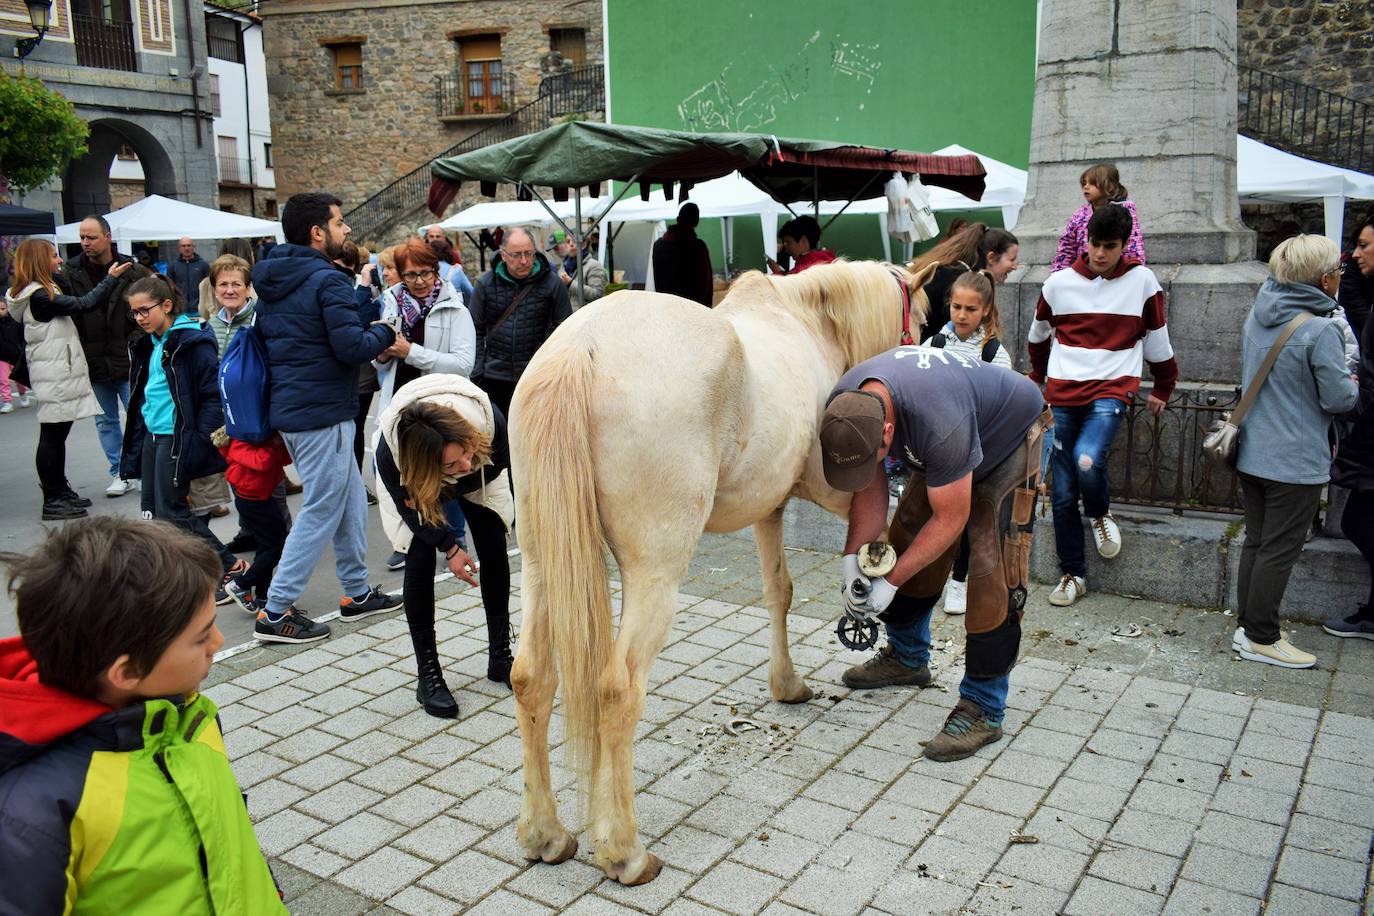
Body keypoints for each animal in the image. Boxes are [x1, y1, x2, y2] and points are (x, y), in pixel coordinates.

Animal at [511, 256, 939, 878]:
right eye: (923, 320)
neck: (809, 325)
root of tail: (579, 349)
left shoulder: (769, 506)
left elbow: (778, 590)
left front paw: (787, 684)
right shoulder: (835, 491)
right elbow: (879, 531)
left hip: (543, 565)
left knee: (531, 678)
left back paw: (545, 835)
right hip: (655, 575)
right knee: (618, 690)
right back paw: (624, 851)